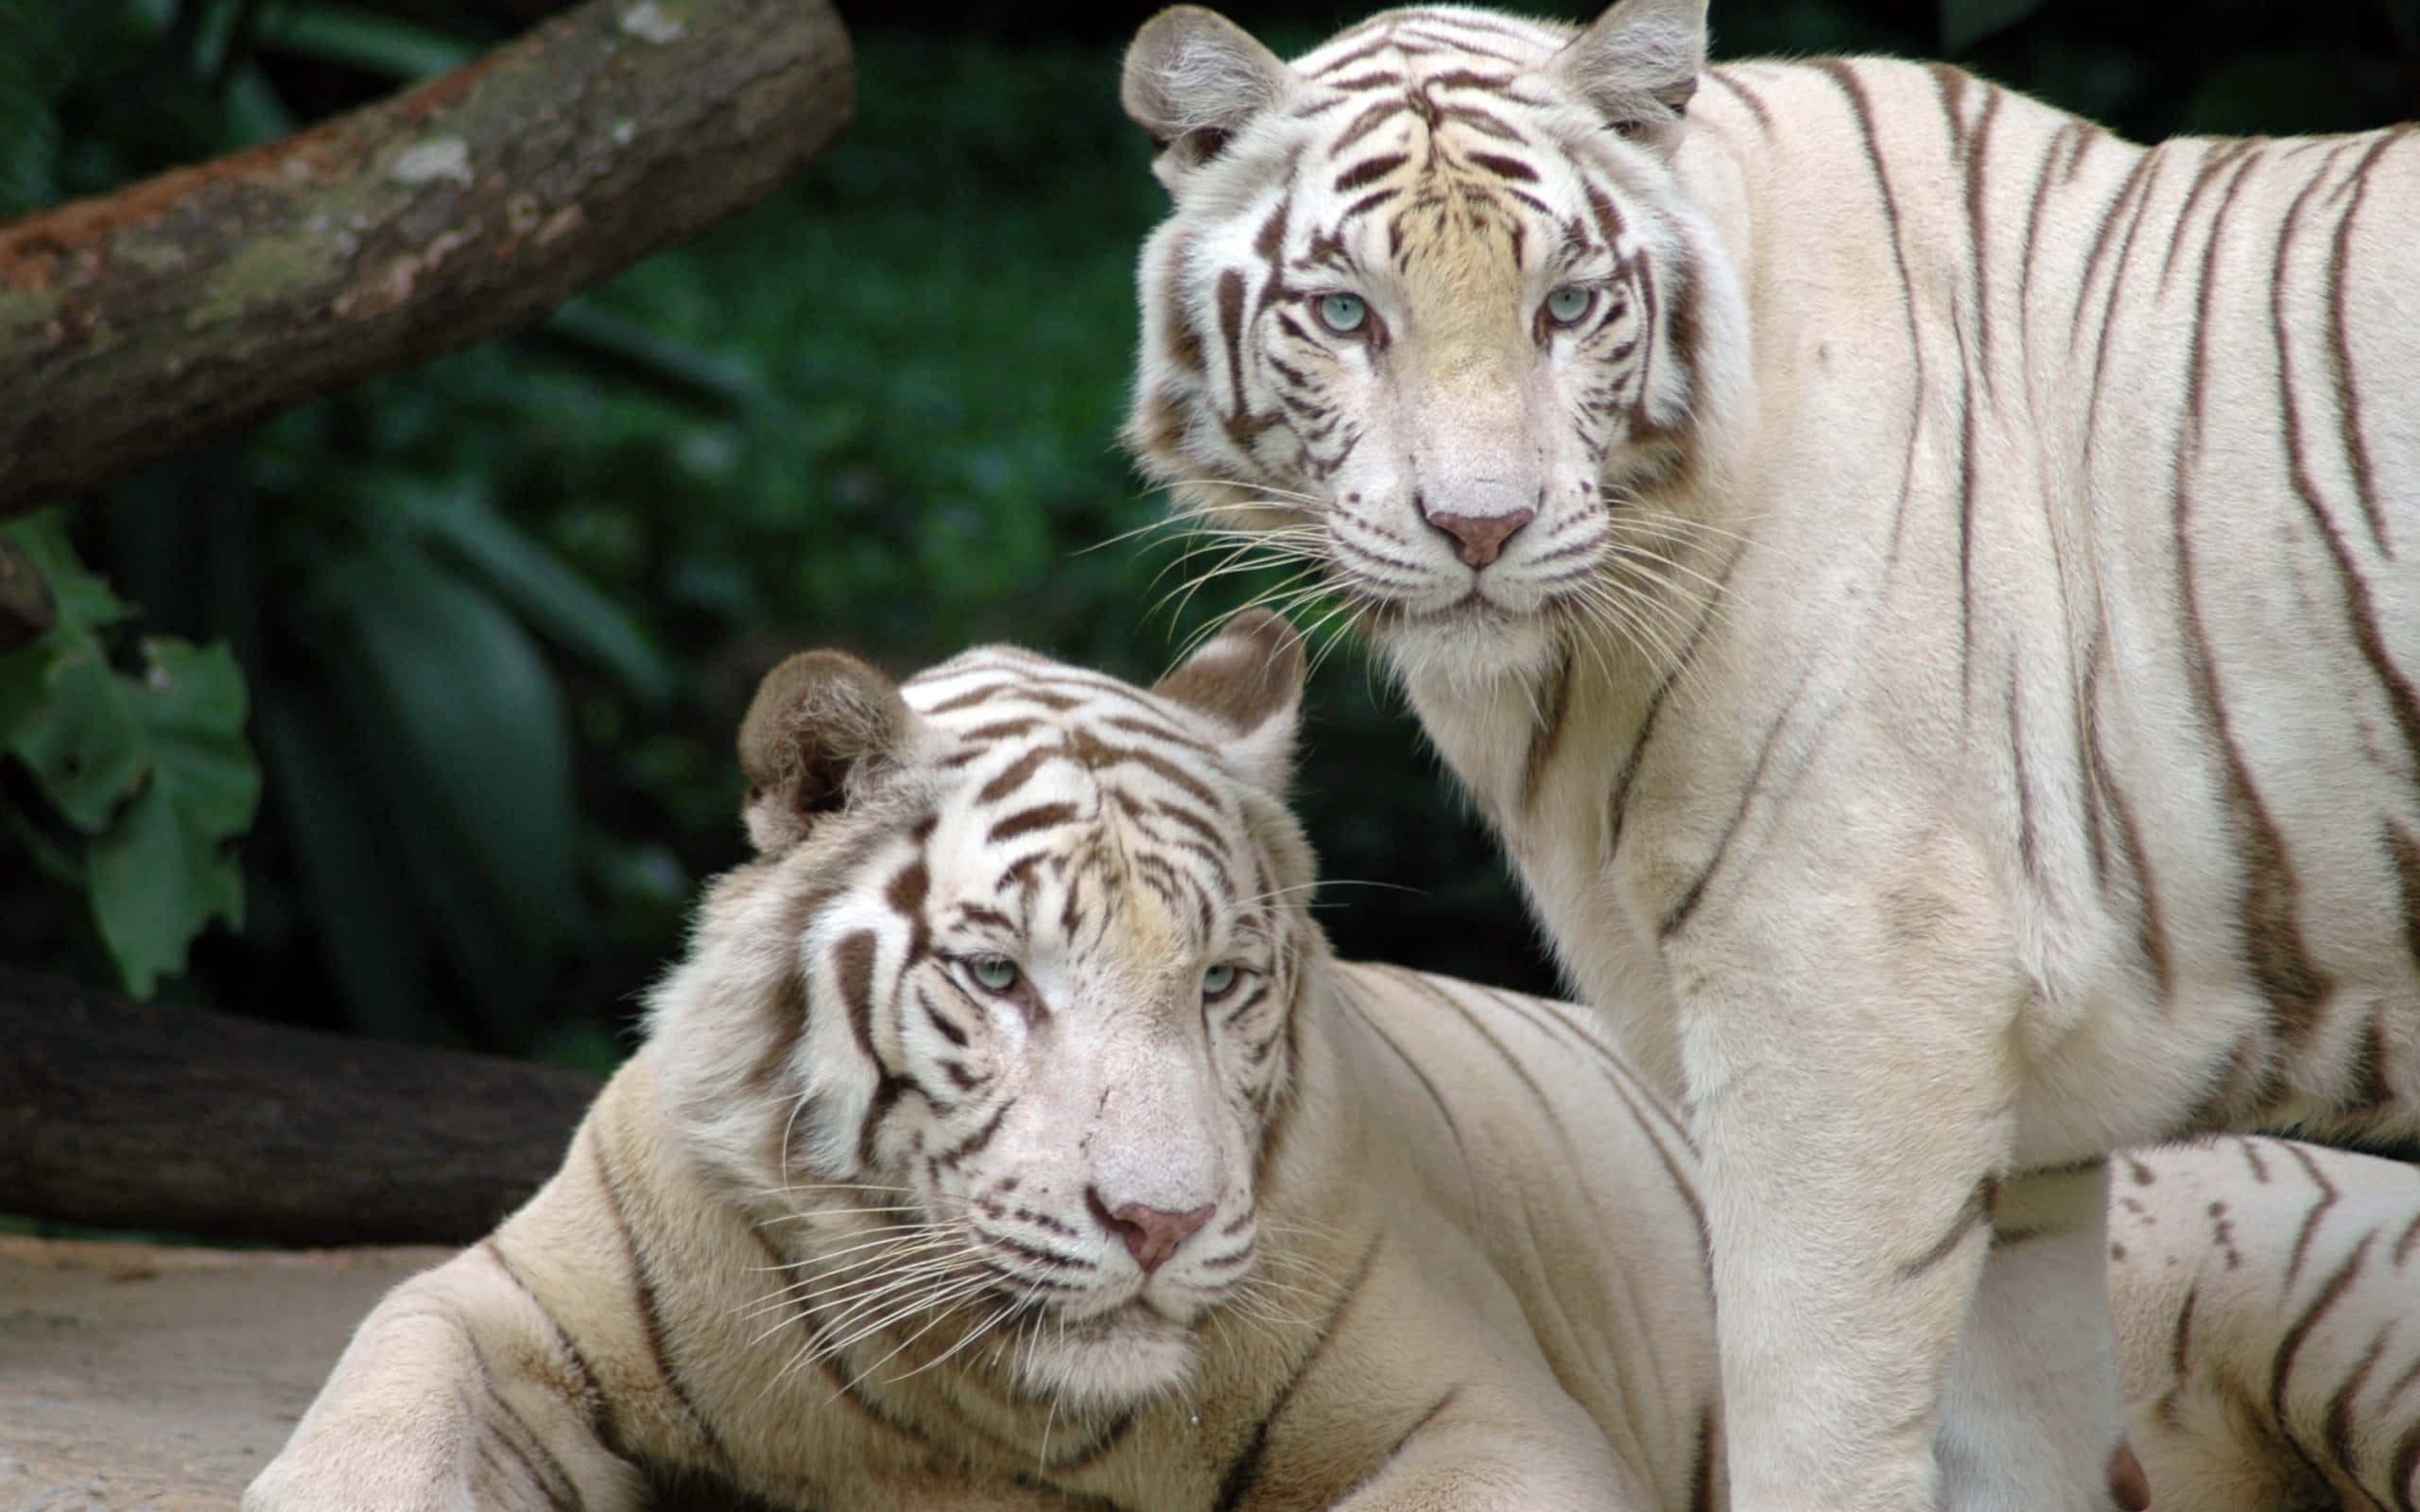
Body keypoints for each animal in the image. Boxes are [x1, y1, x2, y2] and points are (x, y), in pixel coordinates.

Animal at [244, 612, 2420, 1511]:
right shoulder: (492, 1304)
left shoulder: (1487, 1417)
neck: (965, 1410)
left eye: (1220, 981)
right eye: (996, 974)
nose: (1156, 1221)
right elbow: (371, 1427)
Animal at [1116, 2, 2420, 1508]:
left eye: (1568, 306)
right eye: (1345, 314)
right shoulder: (2028, 1140)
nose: (1482, 527)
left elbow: (1813, 1423)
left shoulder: (1848, 1001)